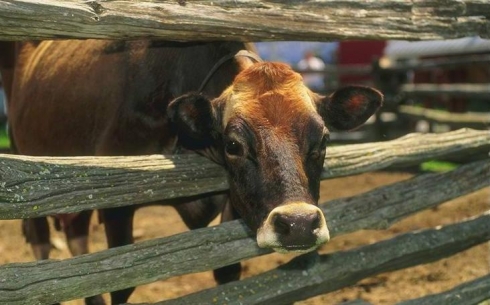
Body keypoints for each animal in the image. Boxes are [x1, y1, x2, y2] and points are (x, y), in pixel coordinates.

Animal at [0, 39, 382, 302]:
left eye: (324, 140)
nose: (299, 224)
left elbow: (227, 272)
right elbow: (120, 284)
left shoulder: (234, 200)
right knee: (44, 240)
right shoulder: (115, 200)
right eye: (233, 145)